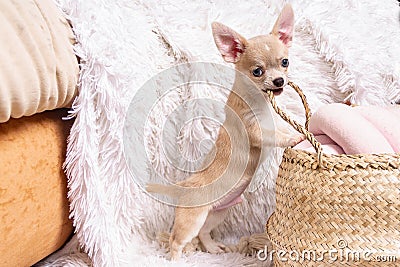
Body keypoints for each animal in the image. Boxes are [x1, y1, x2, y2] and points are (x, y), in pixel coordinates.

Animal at [148, 4, 302, 262]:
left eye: (285, 62)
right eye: (257, 71)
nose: (280, 80)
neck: (260, 103)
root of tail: (185, 187)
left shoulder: (270, 123)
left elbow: (280, 128)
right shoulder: (255, 131)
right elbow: (276, 137)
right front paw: (295, 137)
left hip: (217, 213)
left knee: (204, 234)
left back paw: (213, 248)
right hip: (192, 219)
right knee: (176, 240)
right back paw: (175, 260)